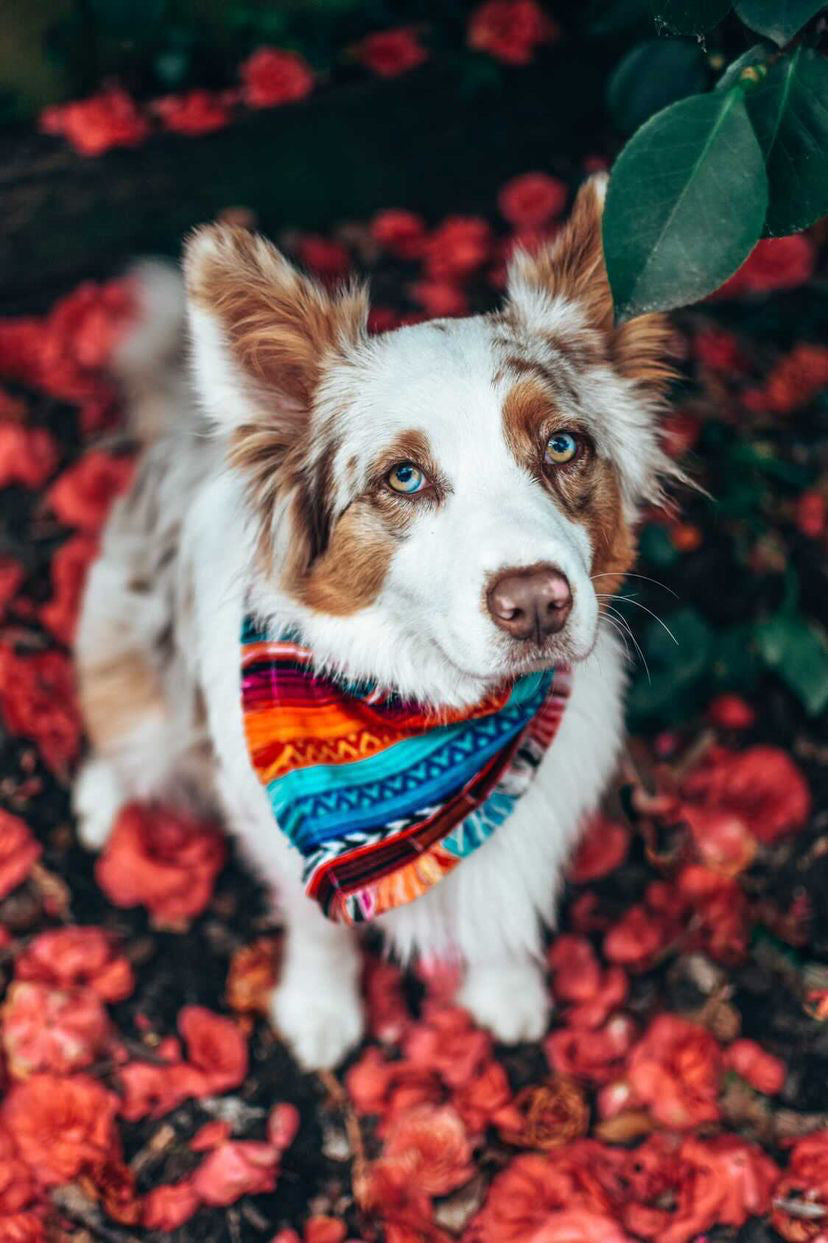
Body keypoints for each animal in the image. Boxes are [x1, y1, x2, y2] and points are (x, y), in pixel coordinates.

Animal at [74, 177, 676, 1068]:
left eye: (564, 445)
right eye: (405, 476)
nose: (537, 601)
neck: (434, 710)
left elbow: (504, 905)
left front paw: (505, 988)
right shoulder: (275, 827)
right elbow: (317, 929)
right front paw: (321, 1009)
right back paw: (102, 795)